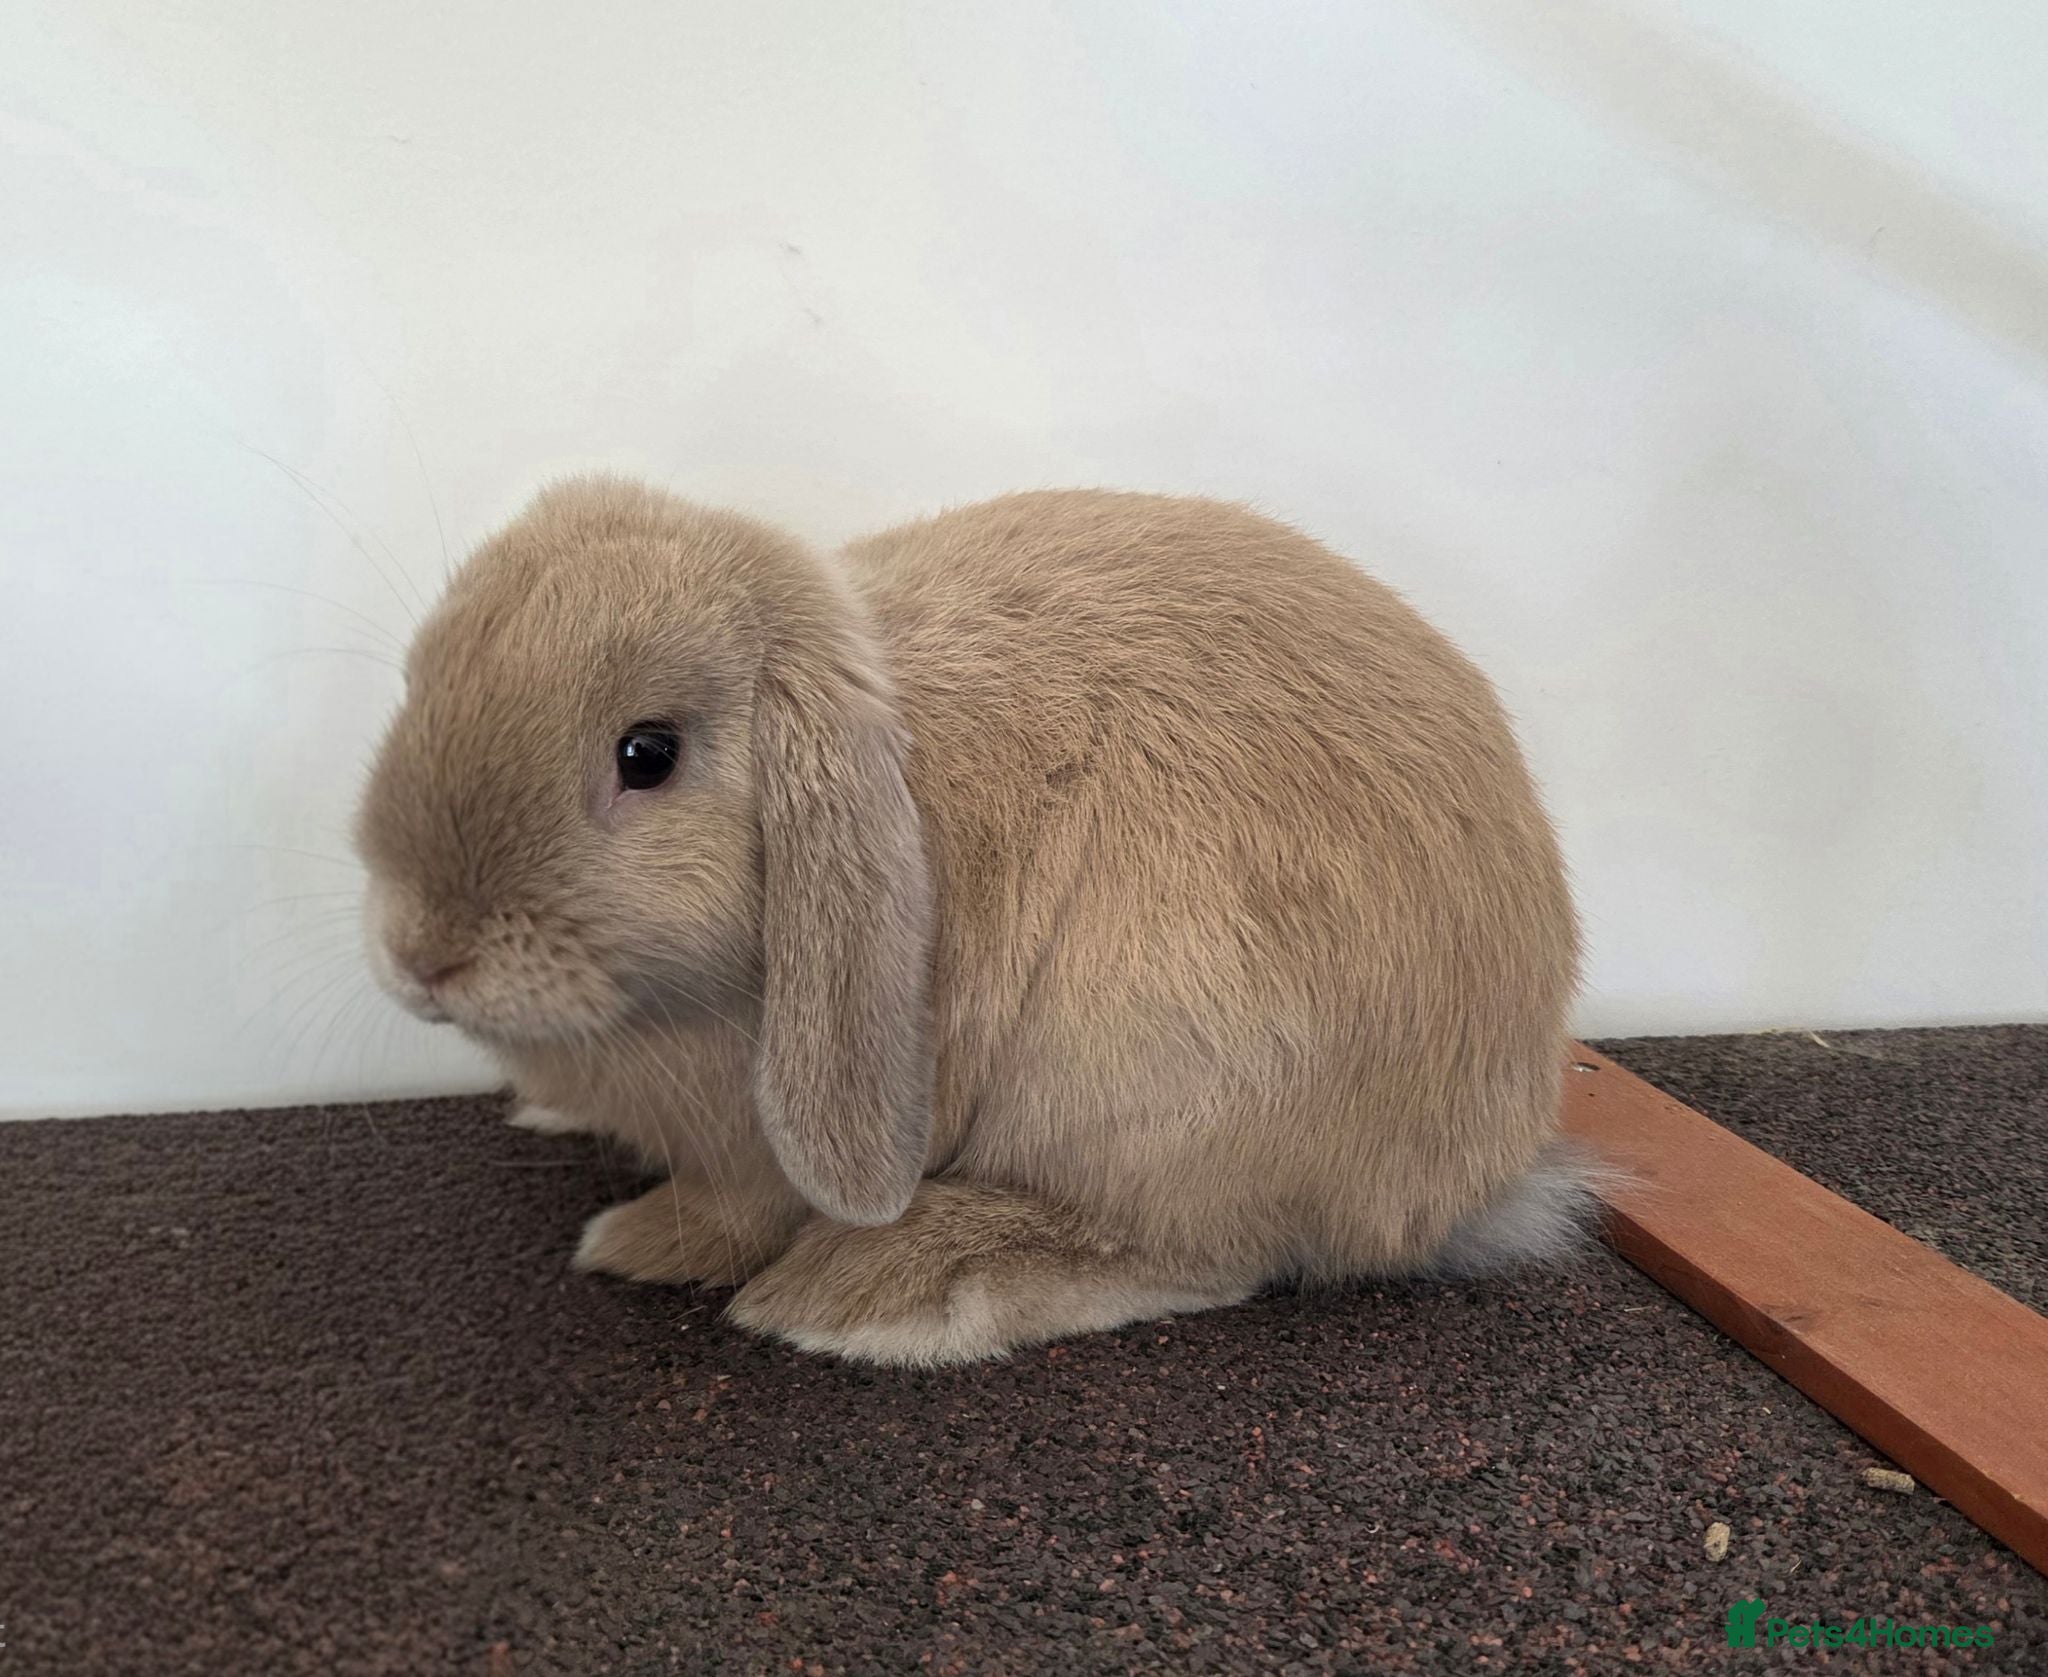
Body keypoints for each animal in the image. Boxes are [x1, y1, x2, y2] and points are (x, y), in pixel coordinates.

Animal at [355, 477, 1589, 1365]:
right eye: (417, 681)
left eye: (645, 754)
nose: (422, 955)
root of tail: (1476, 1168)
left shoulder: (760, 1149)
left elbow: (730, 1212)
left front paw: (635, 1244)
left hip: (1161, 1075)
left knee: (1204, 1253)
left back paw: (880, 1290)